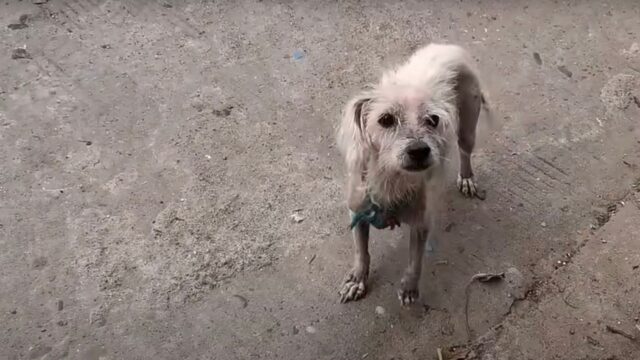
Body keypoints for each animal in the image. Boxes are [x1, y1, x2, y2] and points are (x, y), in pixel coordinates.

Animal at [336, 43, 490, 306]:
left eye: (433, 119)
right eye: (386, 119)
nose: (419, 151)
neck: (391, 177)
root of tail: (448, 47)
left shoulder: (421, 223)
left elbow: (415, 262)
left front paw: (409, 287)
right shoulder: (357, 211)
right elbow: (361, 251)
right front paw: (357, 279)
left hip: (468, 126)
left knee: (465, 151)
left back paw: (467, 177)